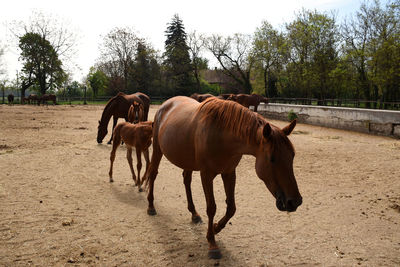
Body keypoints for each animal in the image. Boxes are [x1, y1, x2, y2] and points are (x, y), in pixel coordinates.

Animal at [145, 96, 304, 260]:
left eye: (292, 156)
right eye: (272, 159)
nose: (295, 201)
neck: (221, 135)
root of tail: (165, 105)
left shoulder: (229, 173)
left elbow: (231, 208)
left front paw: (215, 228)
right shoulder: (206, 175)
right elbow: (211, 208)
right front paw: (212, 243)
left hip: (187, 160)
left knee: (186, 180)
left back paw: (194, 214)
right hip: (157, 149)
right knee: (153, 173)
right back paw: (151, 206)